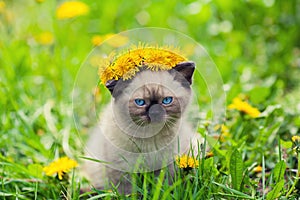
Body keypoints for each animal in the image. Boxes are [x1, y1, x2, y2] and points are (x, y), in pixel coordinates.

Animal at [82, 61, 202, 194]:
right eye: (140, 102)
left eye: (167, 100)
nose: (155, 113)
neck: (150, 139)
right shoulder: (123, 169)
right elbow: (128, 192)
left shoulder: (165, 167)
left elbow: (161, 188)